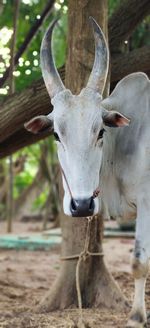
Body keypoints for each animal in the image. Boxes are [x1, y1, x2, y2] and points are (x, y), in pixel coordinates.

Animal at [24, 18, 150, 328]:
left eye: (101, 131)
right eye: (56, 134)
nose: (81, 205)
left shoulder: (147, 203)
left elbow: (139, 262)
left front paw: (136, 317)